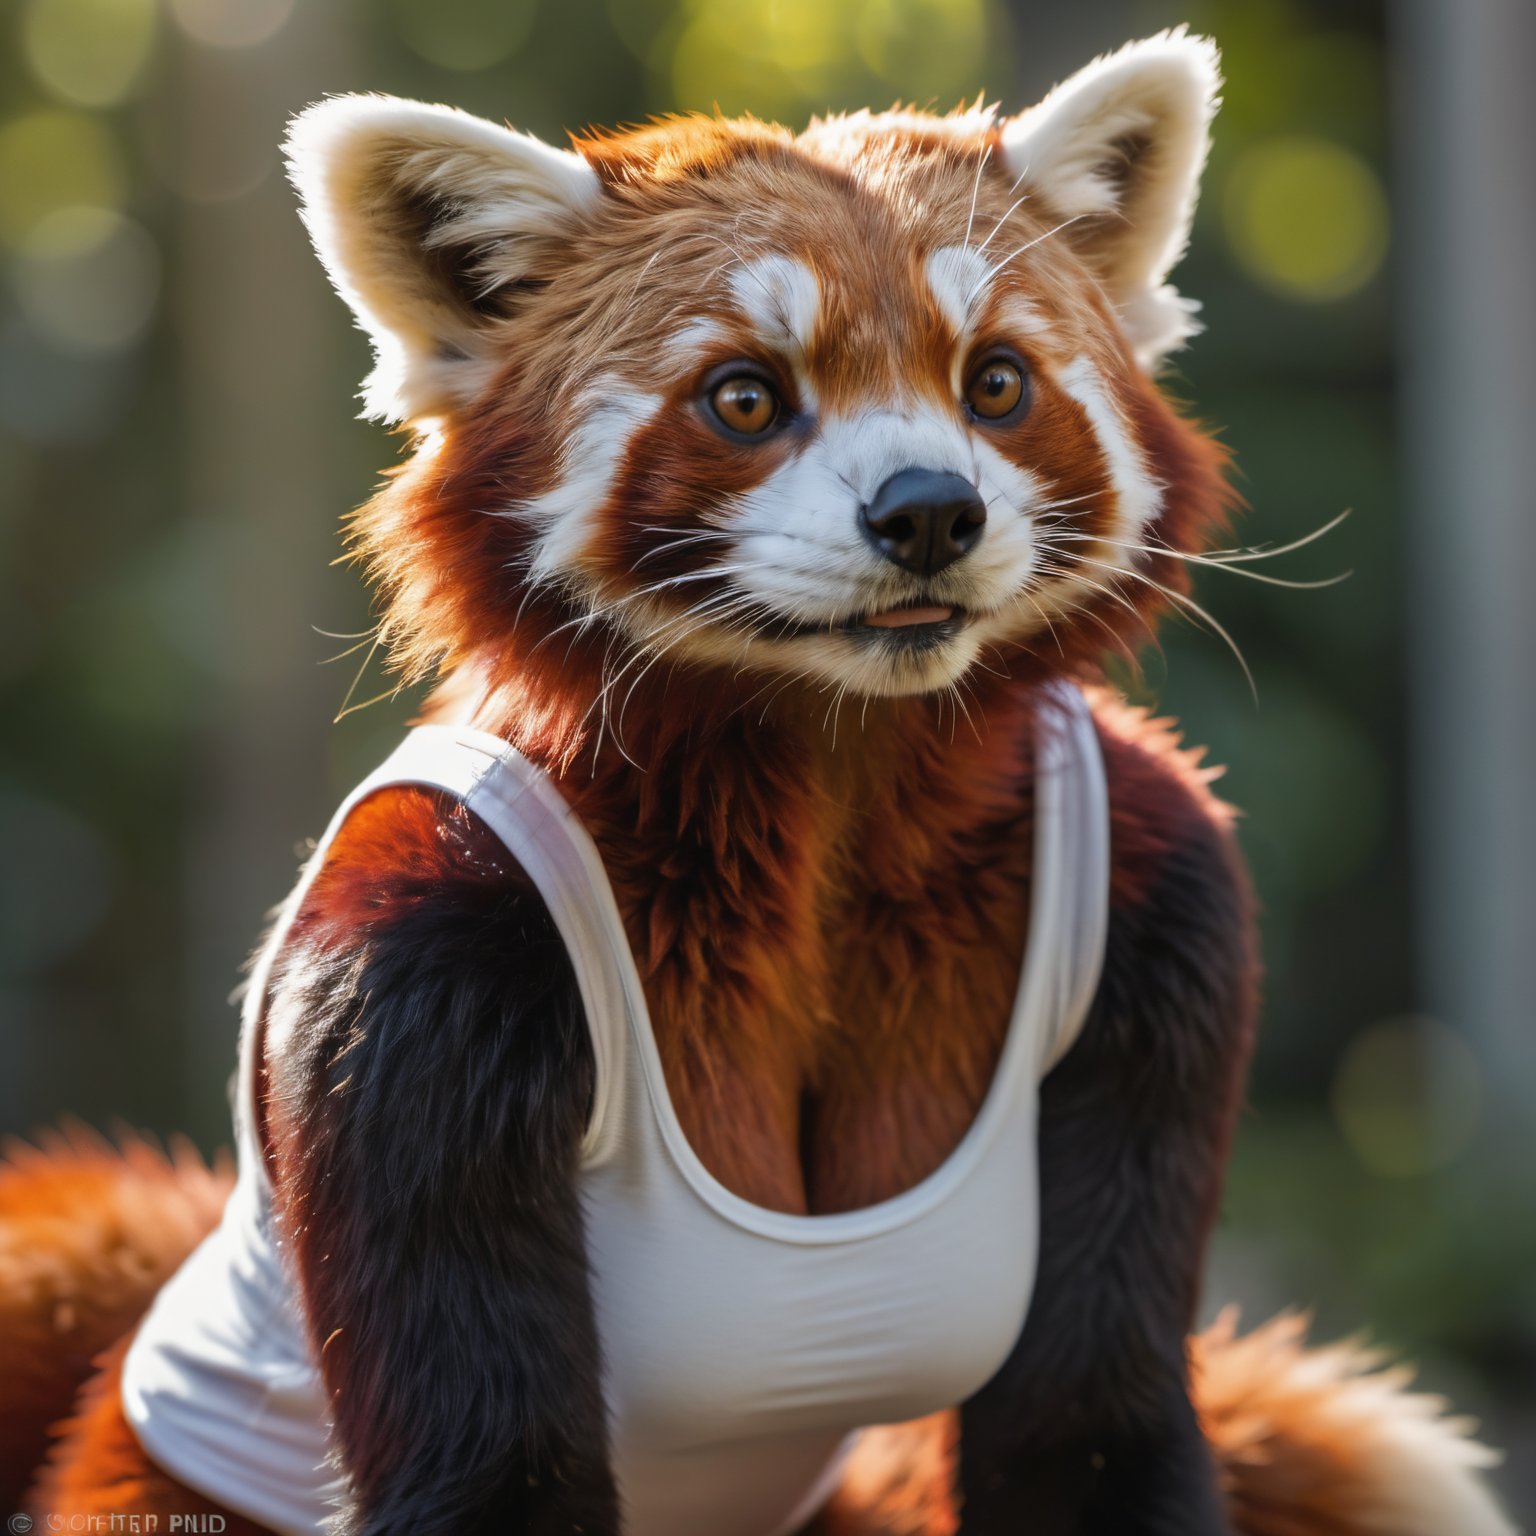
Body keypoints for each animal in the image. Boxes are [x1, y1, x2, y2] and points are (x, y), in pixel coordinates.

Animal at [0, 27, 1511, 1536]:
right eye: (746, 396)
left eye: (997, 382)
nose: (928, 511)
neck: (835, 771)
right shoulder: (422, 948)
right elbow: (487, 1462)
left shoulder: (1158, 886)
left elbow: (1090, 1422)